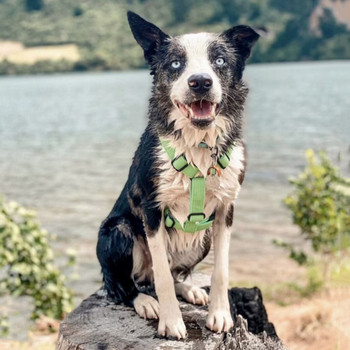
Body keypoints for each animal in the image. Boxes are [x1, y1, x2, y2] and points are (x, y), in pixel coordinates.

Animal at [97, 11, 258, 340]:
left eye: (219, 60)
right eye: (175, 64)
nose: (200, 82)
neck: (198, 146)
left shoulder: (226, 208)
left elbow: (221, 271)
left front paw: (220, 315)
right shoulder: (152, 209)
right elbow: (162, 276)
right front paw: (171, 322)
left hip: (202, 240)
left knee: (174, 273)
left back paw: (190, 289)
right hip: (117, 230)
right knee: (124, 285)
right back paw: (145, 301)